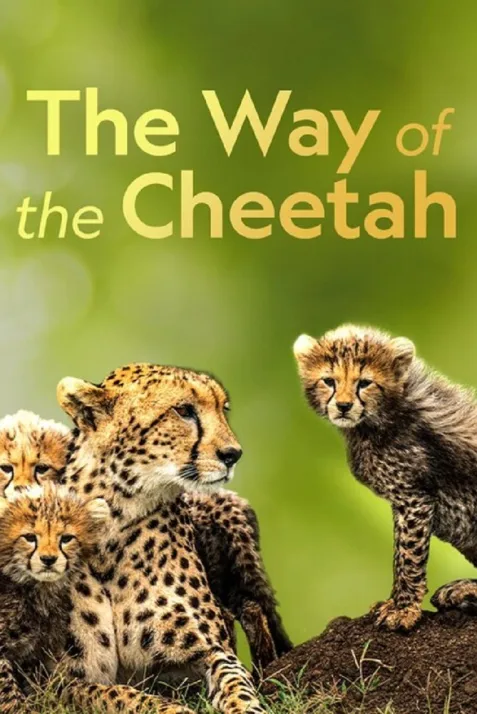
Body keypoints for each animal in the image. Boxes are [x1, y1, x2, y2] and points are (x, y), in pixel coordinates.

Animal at [56, 363, 289, 713]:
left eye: (223, 410)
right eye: (184, 411)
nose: (233, 454)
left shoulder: (207, 650)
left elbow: (234, 681)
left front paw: (246, 704)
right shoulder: (60, 681)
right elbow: (120, 695)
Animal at [294, 323, 477, 631]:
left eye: (364, 383)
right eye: (329, 381)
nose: (343, 406)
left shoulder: (414, 498)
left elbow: (408, 556)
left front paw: (403, 610)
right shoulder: (402, 501)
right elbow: (398, 553)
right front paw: (393, 603)